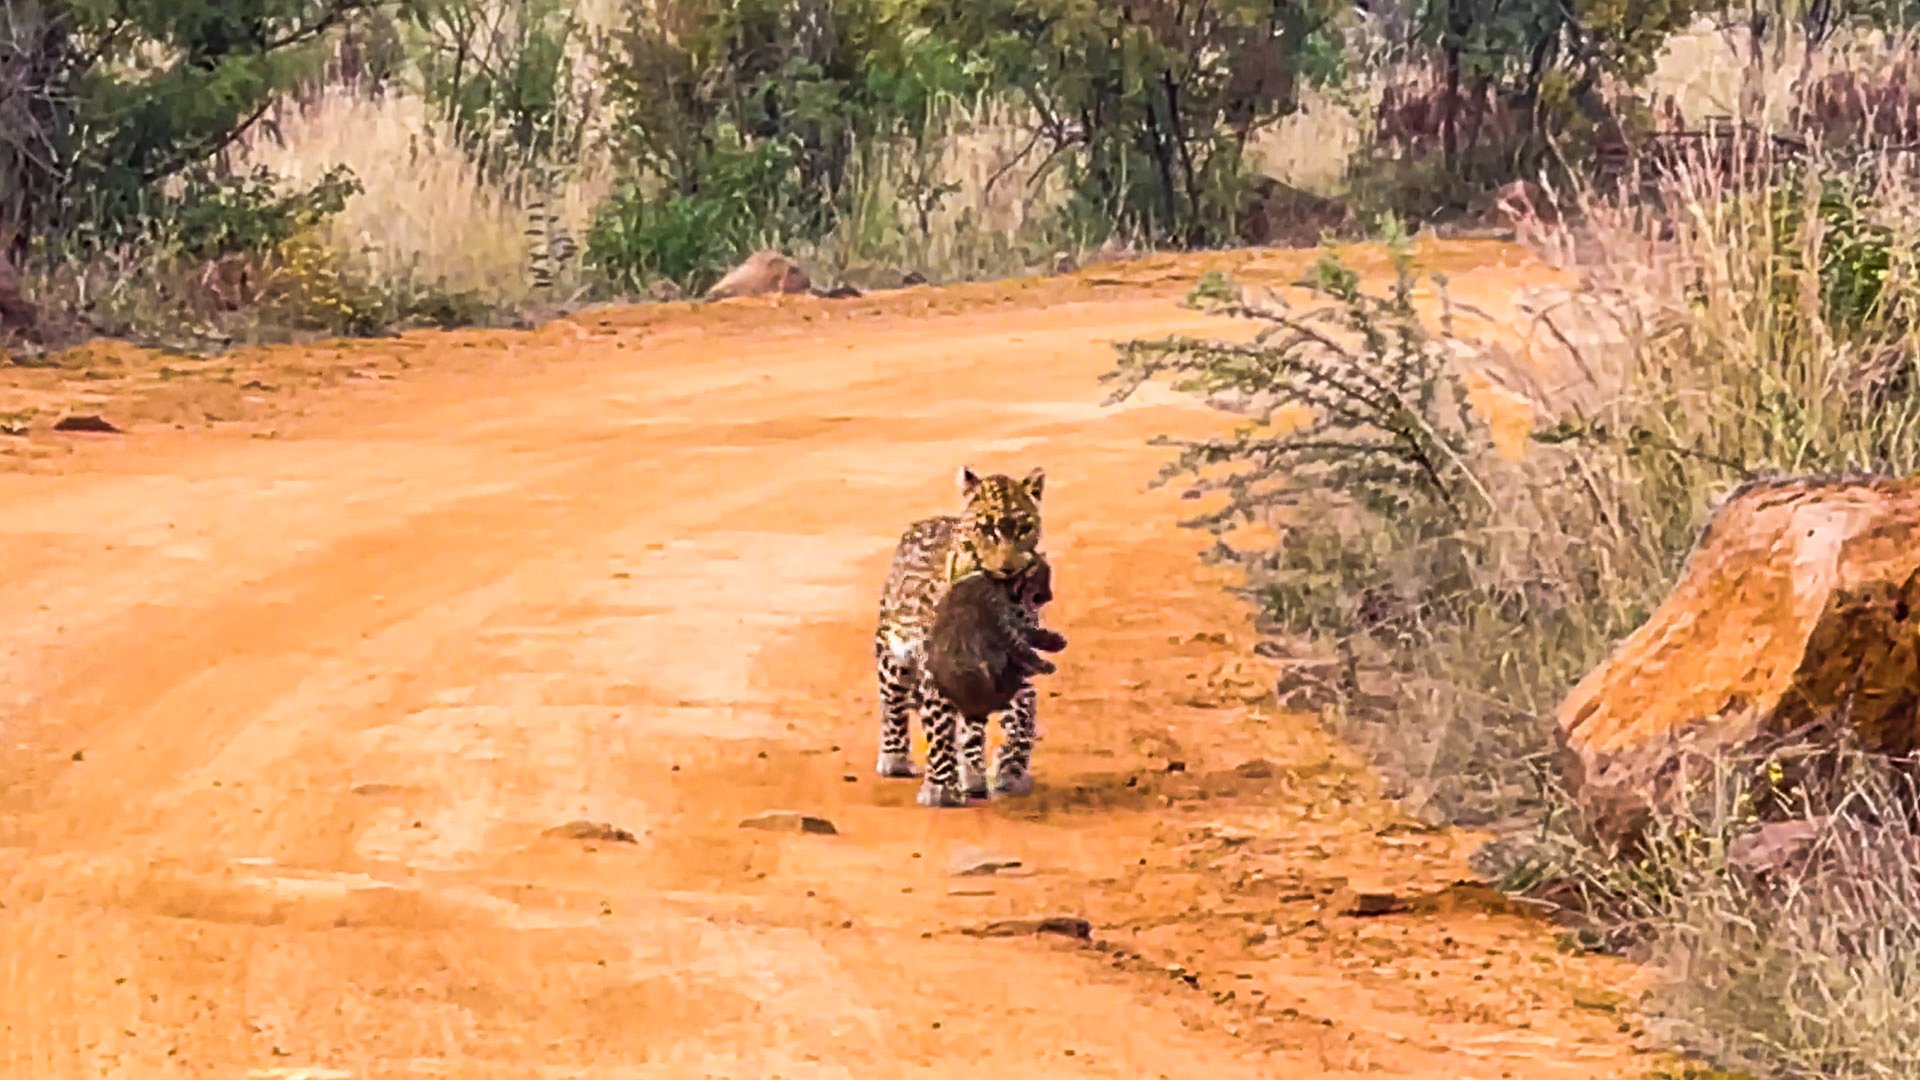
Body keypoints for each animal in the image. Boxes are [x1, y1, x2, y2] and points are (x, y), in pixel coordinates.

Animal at [873, 465, 1051, 807]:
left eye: (1024, 528)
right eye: (985, 529)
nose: (1007, 569)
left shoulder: (1016, 662)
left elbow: (1023, 717)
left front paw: (1011, 773)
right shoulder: (933, 666)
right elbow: (939, 726)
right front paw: (941, 789)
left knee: (972, 726)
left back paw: (974, 776)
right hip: (892, 655)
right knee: (893, 704)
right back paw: (895, 758)